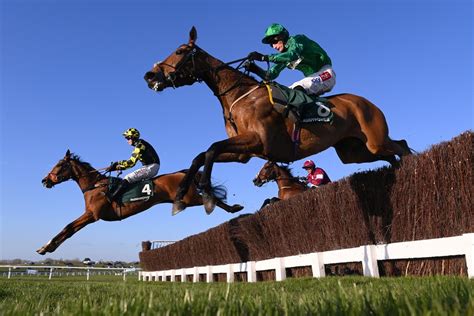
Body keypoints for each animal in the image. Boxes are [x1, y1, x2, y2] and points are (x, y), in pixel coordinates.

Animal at [37, 149, 243, 256]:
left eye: (59, 165)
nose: (45, 180)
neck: (94, 186)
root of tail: (183, 173)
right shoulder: (91, 215)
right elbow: (69, 229)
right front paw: (46, 247)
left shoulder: (92, 215)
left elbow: (68, 227)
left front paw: (46, 247)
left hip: (189, 198)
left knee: (212, 199)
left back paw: (232, 207)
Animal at [143, 27, 412, 215]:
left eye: (179, 51)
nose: (150, 75)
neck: (240, 95)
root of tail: (367, 102)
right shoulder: (243, 153)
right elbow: (201, 155)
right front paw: (180, 197)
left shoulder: (258, 141)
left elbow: (210, 149)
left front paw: (207, 196)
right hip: (355, 152)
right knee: (392, 152)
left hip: (373, 140)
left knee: (401, 147)